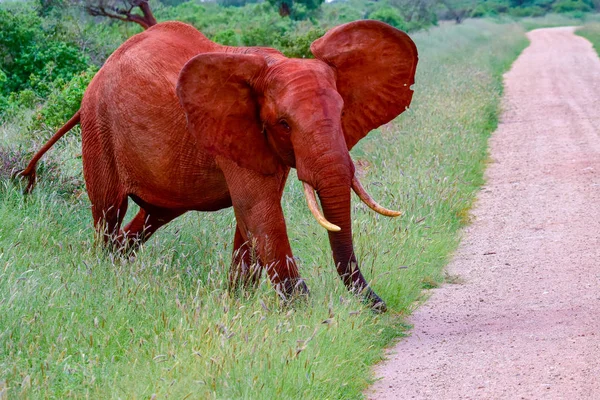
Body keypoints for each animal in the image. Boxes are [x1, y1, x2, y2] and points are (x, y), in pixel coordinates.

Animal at [21, 18, 420, 310]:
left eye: (340, 113)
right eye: (284, 124)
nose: (383, 306)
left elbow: (251, 220)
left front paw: (237, 300)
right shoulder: (234, 132)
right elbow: (259, 211)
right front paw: (305, 312)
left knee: (151, 217)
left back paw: (121, 264)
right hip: (99, 127)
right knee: (107, 212)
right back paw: (107, 273)